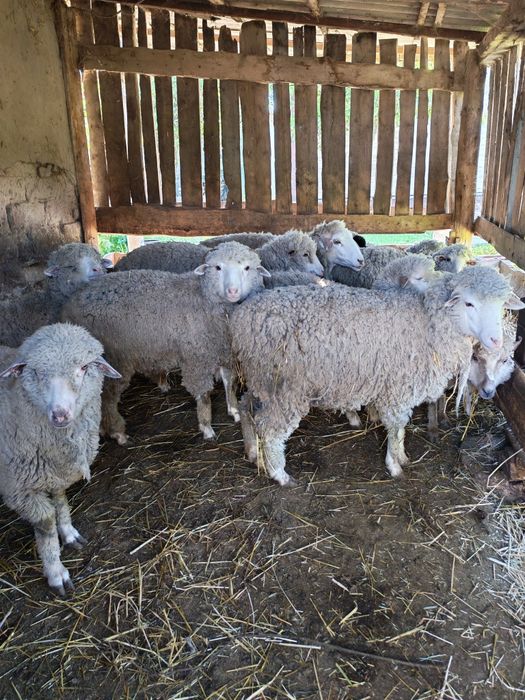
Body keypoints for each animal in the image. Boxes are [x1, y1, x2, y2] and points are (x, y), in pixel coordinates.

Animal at [0, 323, 121, 595]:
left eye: (84, 368)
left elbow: (60, 500)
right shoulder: (19, 489)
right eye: (35, 371)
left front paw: (68, 532)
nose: (60, 415)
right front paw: (56, 571)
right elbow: (46, 523)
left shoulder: (55, 471)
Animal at [62, 242, 270, 444]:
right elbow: (204, 396)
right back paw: (118, 433)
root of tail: (71, 303)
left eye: (247, 268)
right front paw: (206, 427)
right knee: (107, 398)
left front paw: (233, 410)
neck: (204, 298)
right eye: (218, 267)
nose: (232, 291)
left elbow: (229, 383)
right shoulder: (196, 359)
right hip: (114, 359)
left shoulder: (222, 350)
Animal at [231, 266, 524, 485]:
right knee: (269, 429)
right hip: (284, 388)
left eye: (501, 306)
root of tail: (241, 316)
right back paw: (279, 474)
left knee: (247, 408)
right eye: (469, 303)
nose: (496, 341)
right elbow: (396, 427)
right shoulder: (397, 388)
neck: (428, 324)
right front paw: (395, 465)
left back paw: (253, 452)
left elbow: (401, 428)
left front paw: (402, 456)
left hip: (261, 381)